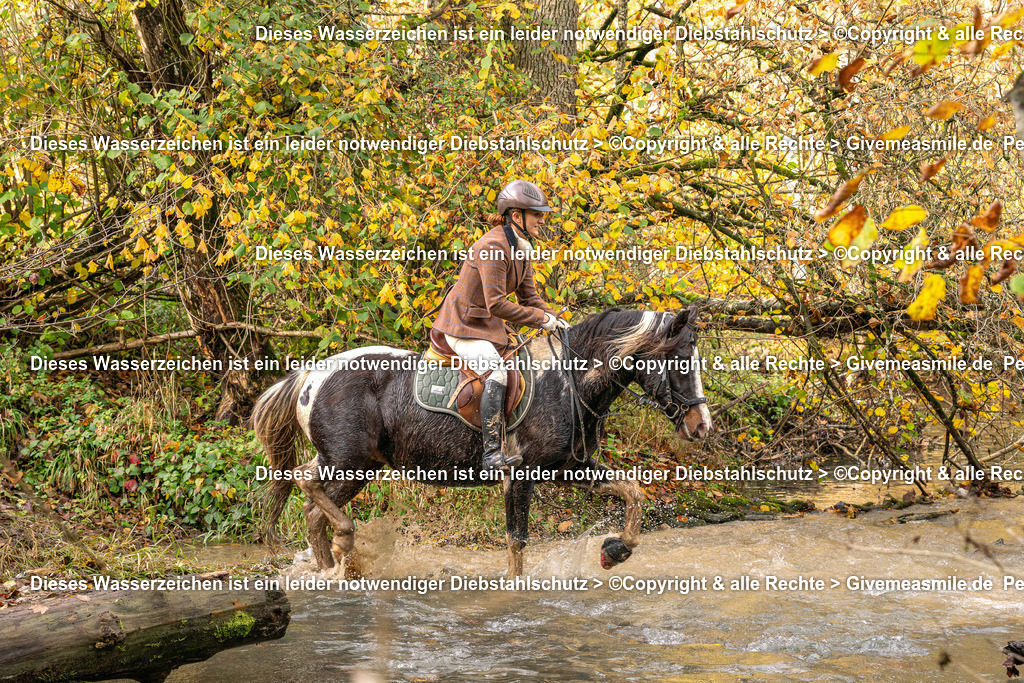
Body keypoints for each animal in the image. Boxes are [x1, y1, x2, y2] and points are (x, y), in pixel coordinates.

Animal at [253, 305, 712, 577]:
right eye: (681, 361)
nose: (701, 426)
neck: (569, 382)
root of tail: (311, 374)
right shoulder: (521, 475)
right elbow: (517, 540)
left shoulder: (570, 467)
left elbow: (634, 492)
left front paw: (615, 550)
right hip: (348, 460)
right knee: (305, 483)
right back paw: (345, 542)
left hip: (355, 464)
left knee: (312, 507)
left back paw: (332, 568)